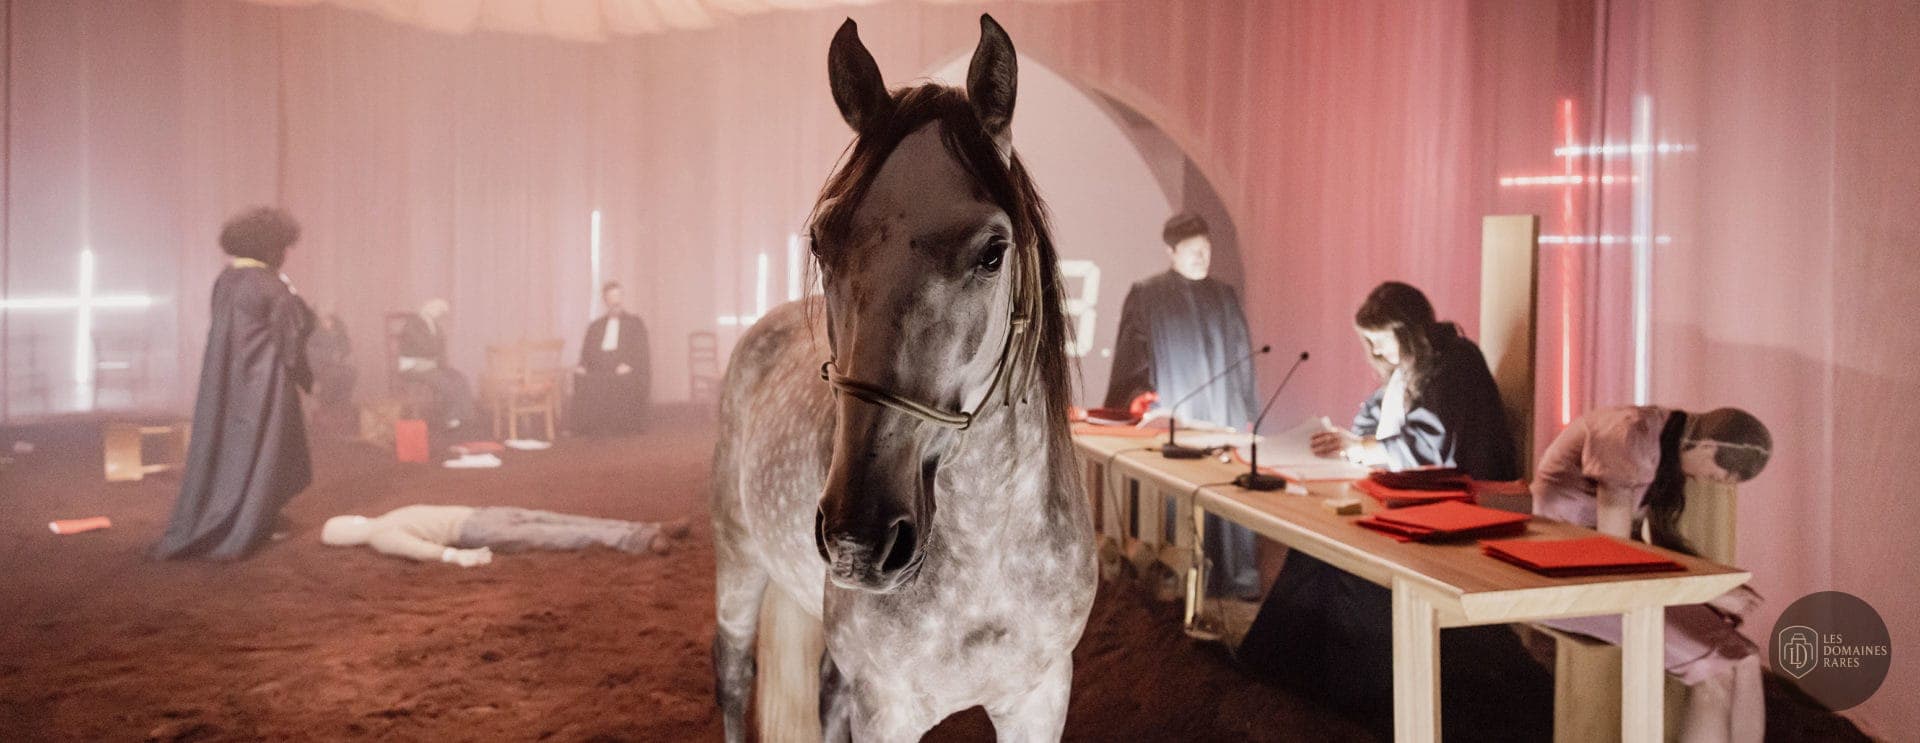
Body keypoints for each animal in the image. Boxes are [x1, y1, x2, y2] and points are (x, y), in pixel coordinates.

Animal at [709, 14, 1096, 742]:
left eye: (993, 252)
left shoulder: (1040, 696)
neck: (986, 559)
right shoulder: (888, 707)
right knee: (734, 676)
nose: (859, 538)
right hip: (737, 561)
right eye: (821, 241)